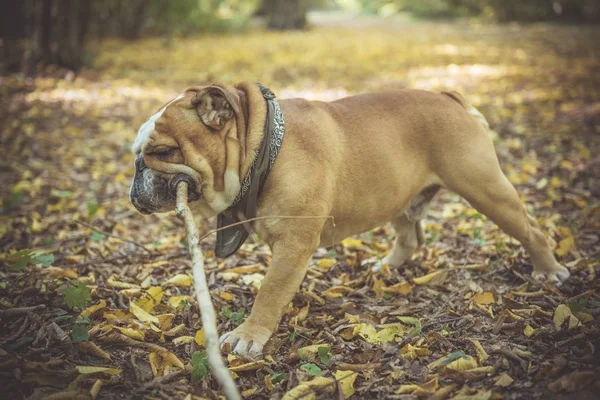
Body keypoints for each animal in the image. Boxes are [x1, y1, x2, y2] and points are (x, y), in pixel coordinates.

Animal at [129, 83, 568, 358]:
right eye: (137, 154)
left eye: (164, 152)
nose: (136, 175)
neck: (260, 148)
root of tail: (450, 97)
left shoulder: (294, 246)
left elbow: (269, 292)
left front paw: (249, 336)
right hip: (398, 197)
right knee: (410, 236)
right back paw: (386, 267)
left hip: (486, 189)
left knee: (531, 230)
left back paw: (549, 270)